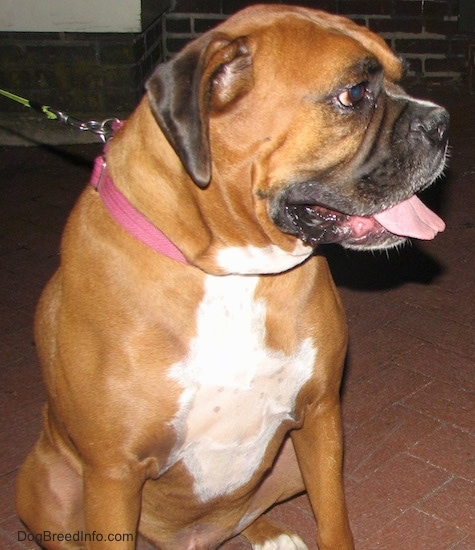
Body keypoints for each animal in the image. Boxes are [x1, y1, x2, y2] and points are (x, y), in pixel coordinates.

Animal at [14, 4, 448, 550]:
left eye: (399, 76)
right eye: (353, 95)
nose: (441, 123)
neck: (231, 272)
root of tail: (192, 539)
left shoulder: (321, 415)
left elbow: (334, 521)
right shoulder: (114, 475)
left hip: (289, 463)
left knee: (241, 512)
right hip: (49, 483)